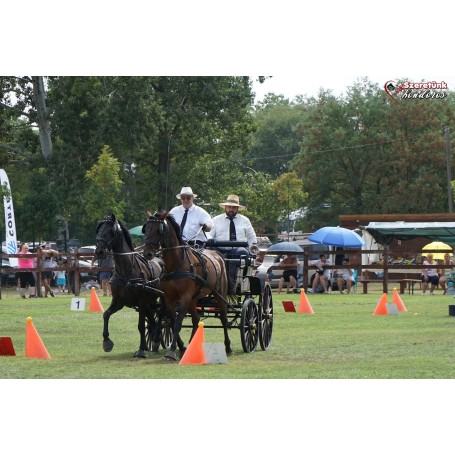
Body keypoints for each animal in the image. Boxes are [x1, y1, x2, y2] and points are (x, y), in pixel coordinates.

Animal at [94, 215, 164, 360]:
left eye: (110, 232)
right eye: (98, 231)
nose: (99, 251)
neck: (126, 271)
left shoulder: (141, 302)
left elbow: (141, 326)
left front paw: (141, 350)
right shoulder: (118, 301)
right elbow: (106, 314)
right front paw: (106, 342)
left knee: (161, 315)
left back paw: (156, 338)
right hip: (150, 301)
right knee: (153, 319)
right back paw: (154, 341)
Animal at [143, 212, 232, 362]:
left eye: (159, 230)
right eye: (146, 229)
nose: (147, 253)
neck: (176, 265)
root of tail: (218, 255)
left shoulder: (184, 297)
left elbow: (178, 322)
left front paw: (172, 351)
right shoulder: (169, 298)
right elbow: (173, 322)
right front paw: (180, 348)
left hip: (219, 294)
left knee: (224, 318)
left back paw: (228, 347)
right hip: (194, 298)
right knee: (196, 320)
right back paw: (191, 345)